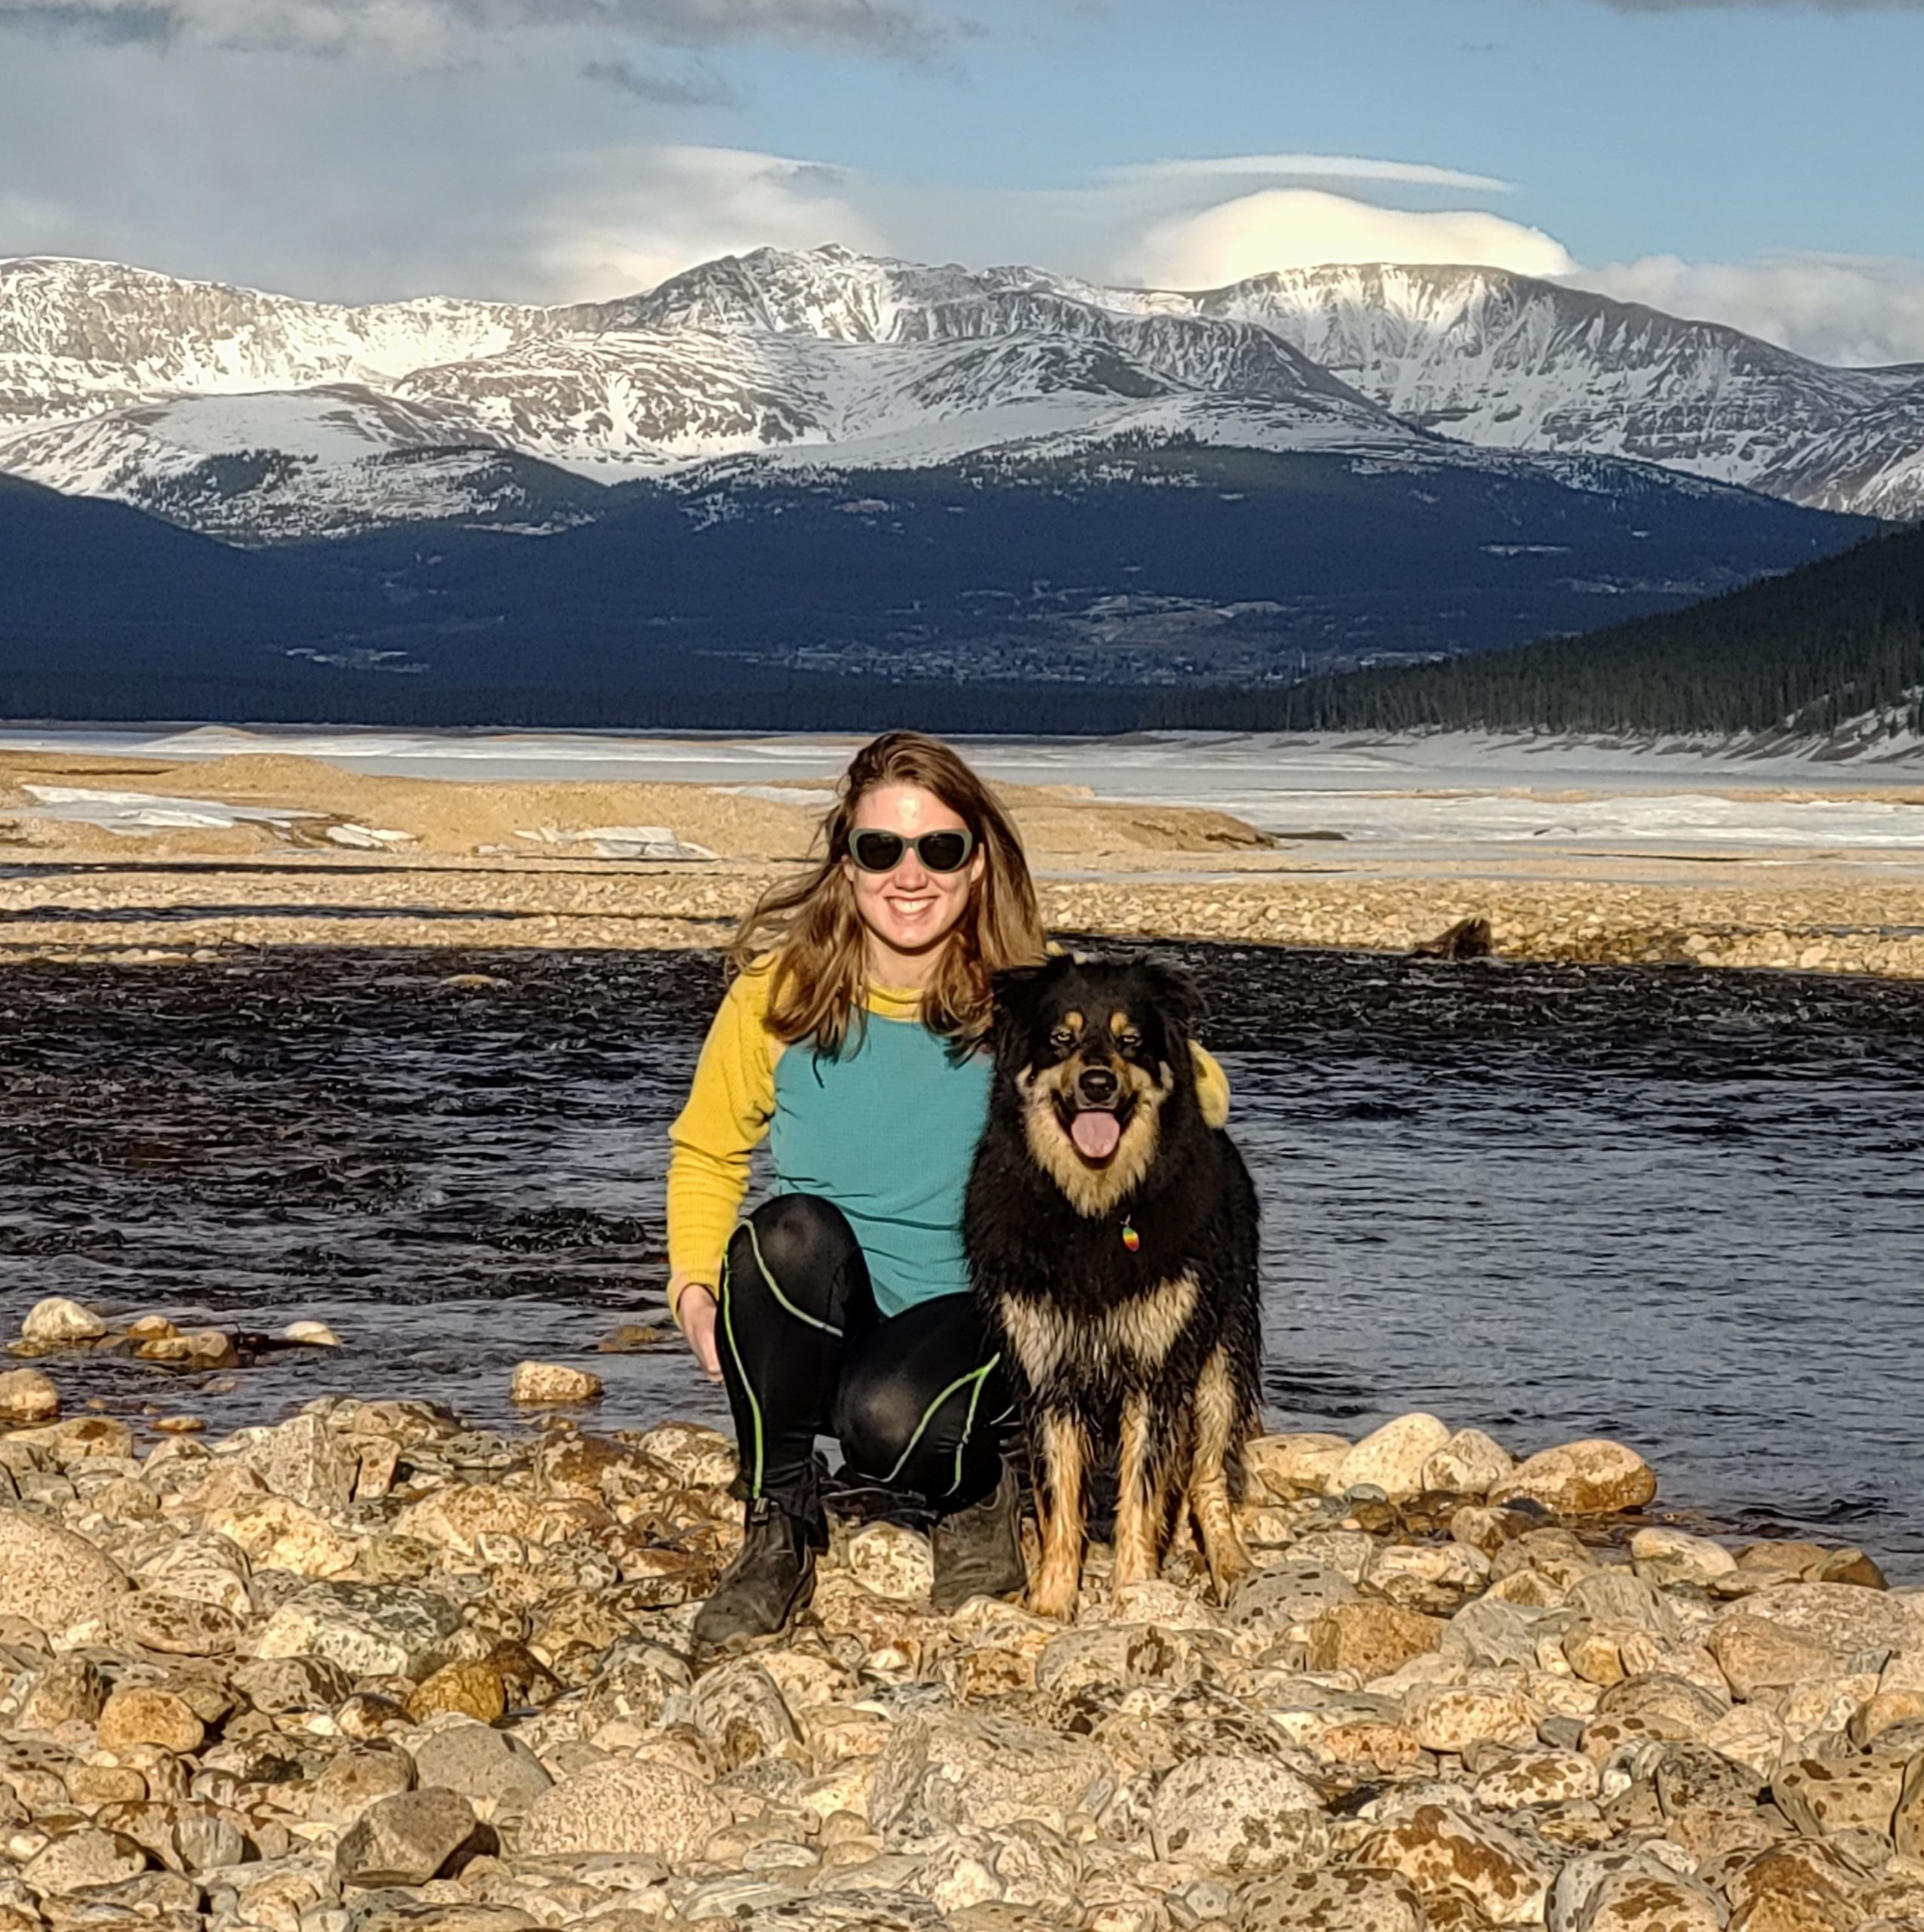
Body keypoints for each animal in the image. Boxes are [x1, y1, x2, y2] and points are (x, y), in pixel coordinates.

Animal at [962, 954, 1259, 1615]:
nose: (1097, 1084)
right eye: (1060, 1038)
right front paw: (1051, 1602)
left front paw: (1135, 1590)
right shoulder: (1045, 1373)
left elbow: (1141, 1495)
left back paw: (1231, 1567)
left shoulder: (1157, 1370)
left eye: (1130, 1041)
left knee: (1205, 1475)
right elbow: (1058, 1500)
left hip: (1219, 1364)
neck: (1094, 1212)